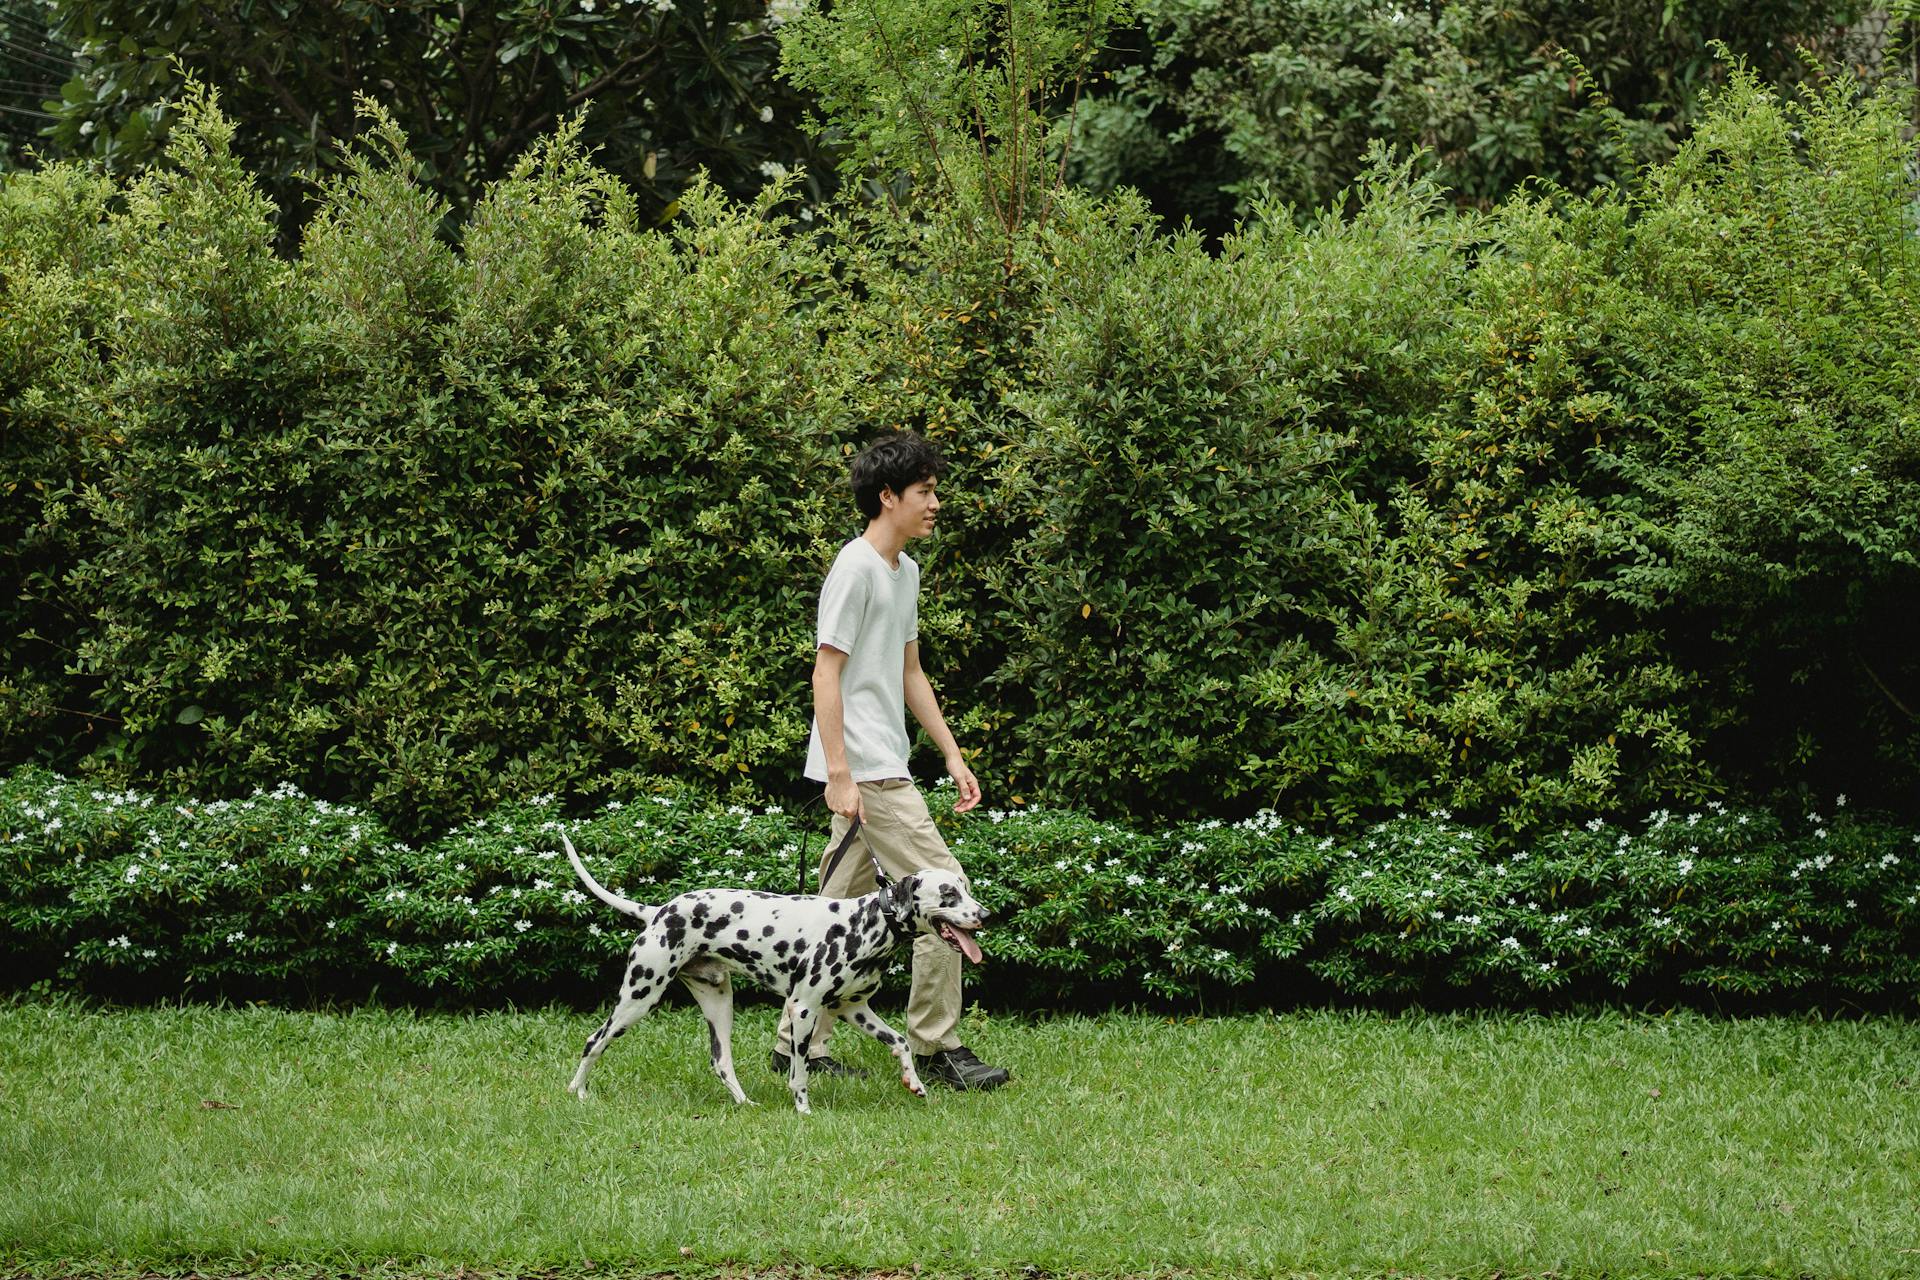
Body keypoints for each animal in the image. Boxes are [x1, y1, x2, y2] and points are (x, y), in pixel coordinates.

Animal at [552, 832, 975, 1113]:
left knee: (721, 1062)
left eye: (966, 888)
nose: (984, 914)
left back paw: (745, 1104)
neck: (864, 923)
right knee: (593, 1041)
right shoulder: (802, 1009)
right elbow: (799, 1071)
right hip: (638, 999)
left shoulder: (853, 1010)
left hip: (719, 1004)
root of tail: (658, 912)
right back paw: (577, 1092)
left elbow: (901, 1042)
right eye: (948, 894)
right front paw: (804, 1111)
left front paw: (914, 1082)